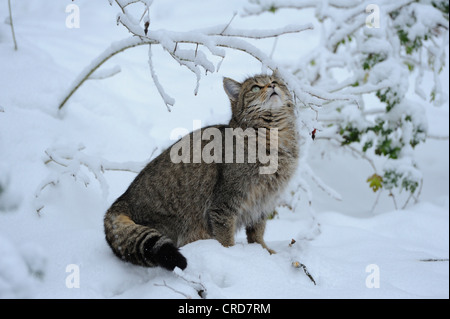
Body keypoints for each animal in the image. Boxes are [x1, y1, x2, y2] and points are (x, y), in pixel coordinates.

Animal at [103, 72, 298, 270]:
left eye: (275, 82)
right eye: (256, 87)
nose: (272, 86)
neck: (275, 139)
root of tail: (121, 201)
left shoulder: (263, 203)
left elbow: (257, 233)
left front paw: (263, 251)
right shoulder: (224, 204)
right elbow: (226, 237)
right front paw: (232, 256)